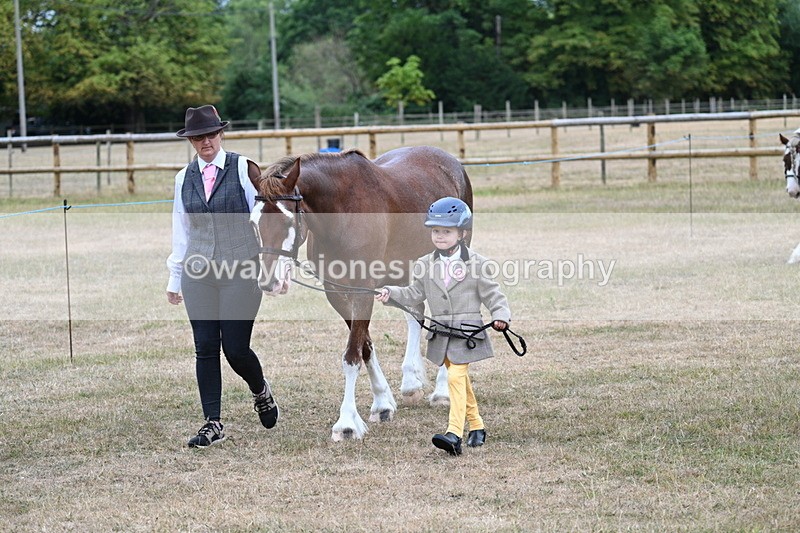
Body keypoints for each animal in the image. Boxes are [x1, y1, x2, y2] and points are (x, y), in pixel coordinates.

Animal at [248, 146, 473, 441]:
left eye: (287, 222)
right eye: (253, 222)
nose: (270, 282)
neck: (342, 213)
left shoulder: (361, 291)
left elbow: (352, 356)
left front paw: (346, 423)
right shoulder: (336, 293)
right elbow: (365, 347)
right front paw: (382, 403)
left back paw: (443, 391)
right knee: (415, 313)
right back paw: (411, 381)